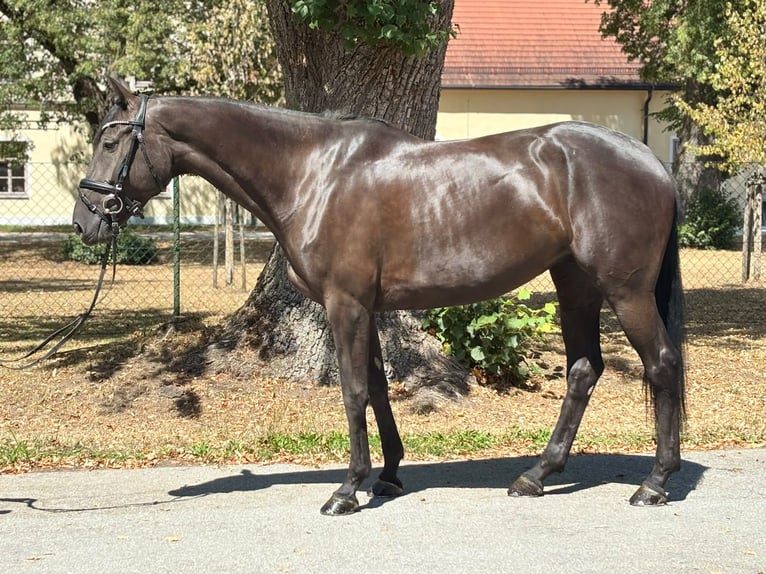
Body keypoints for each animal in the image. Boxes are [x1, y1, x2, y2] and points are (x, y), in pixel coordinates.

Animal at [73, 77, 685, 516]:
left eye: (110, 140)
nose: (86, 222)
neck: (313, 174)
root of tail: (652, 161)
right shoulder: (365, 307)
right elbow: (377, 389)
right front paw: (387, 476)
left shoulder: (345, 305)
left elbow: (352, 392)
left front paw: (346, 490)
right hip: (574, 283)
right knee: (584, 369)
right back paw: (537, 476)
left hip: (625, 290)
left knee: (661, 364)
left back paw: (655, 483)